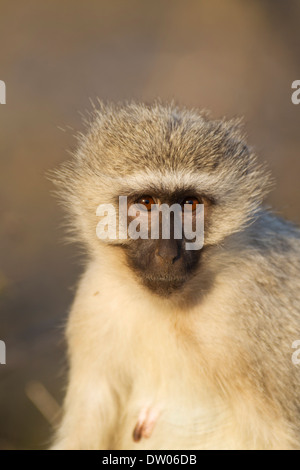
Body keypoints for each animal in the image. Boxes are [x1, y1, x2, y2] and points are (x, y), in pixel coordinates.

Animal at [50, 102, 300, 448]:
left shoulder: (261, 310)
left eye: (190, 204)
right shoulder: (93, 306)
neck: (168, 308)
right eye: (146, 203)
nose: (168, 254)